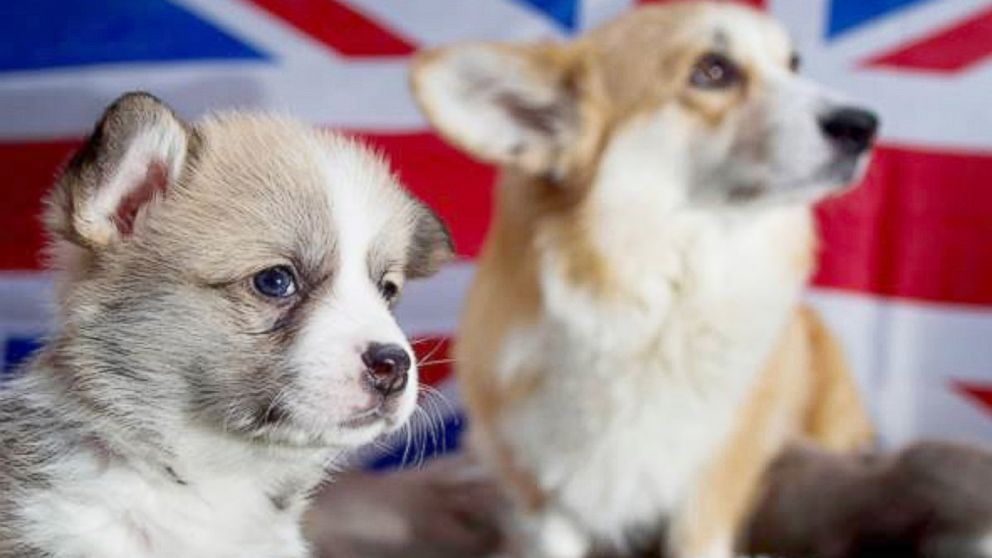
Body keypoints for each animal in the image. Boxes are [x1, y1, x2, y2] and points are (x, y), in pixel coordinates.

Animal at [410, 4, 876, 558]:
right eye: (712, 70)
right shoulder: (545, 495)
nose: (866, 125)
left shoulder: (708, 488)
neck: (653, 302)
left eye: (793, 64)